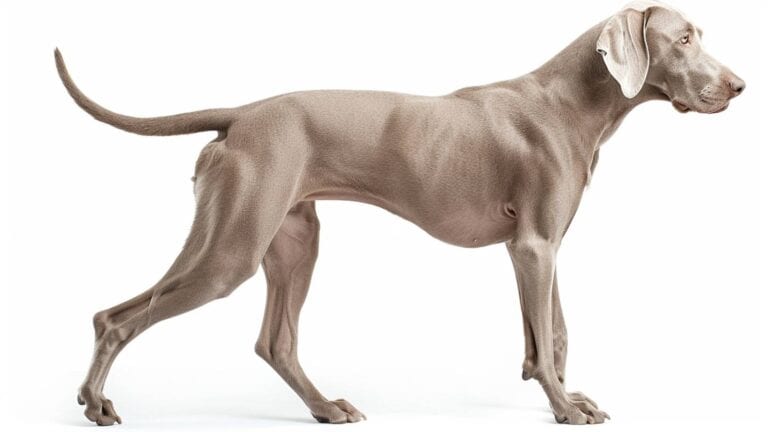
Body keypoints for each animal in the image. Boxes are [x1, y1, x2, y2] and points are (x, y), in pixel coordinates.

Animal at [58, 0, 744, 426]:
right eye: (684, 38)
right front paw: (563, 408)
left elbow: (552, 331)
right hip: (231, 251)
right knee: (115, 318)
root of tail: (243, 114)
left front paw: (562, 395)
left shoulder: (537, 245)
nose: (739, 86)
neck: (571, 101)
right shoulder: (534, 246)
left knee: (274, 341)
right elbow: (550, 337)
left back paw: (325, 408)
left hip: (293, 240)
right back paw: (95, 403)